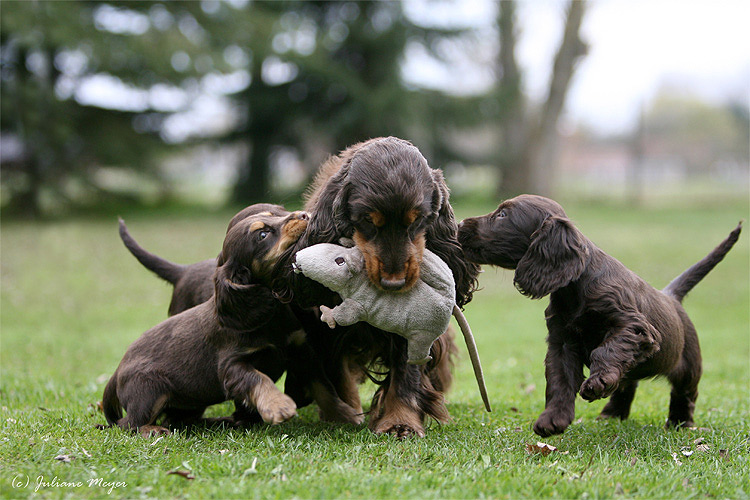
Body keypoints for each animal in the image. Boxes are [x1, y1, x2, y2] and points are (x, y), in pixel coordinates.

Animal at [103, 209, 362, 436]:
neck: (270, 316)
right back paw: (153, 430)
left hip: (189, 401)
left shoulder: (302, 352)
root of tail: (116, 372)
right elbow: (257, 378)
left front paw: (345, 414)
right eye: (262, 235)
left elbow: (324, 388)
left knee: (177, 419)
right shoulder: (230, 365)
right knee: (128, 423)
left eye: (274, 214)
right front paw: (278, 406)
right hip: (150, 390)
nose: (305, 215)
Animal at [276, 138, 482, 438]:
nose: (393, 284)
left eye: (417, 220)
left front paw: (401, 423)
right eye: (367, 221)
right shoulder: (325, 329)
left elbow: (406, 374)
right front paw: (345, 414)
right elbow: (337, 373)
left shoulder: (414, 325)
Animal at [462, 193, 744, 436]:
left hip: (688, 365)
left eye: (503, 215)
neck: (575, 285)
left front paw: (597, 383)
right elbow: (559, 380)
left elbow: (606, 351)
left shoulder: (633, 327)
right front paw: (554, 419)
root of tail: (672, 296)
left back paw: (680, 422)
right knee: (627, 383)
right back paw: (612, 413)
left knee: (684, 393)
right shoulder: (562, 342)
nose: (462, 224)